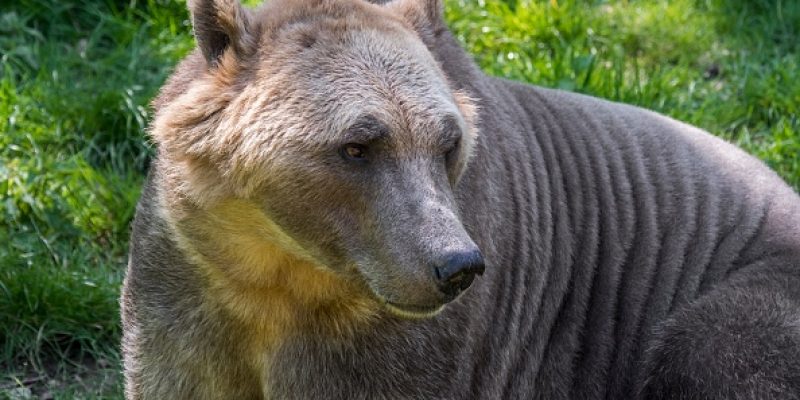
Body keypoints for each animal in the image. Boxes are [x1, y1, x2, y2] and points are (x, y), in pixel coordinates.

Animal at [122, 0, 800, 398]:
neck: (275, 269)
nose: (456, 266)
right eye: (358, 144)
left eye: (447, 143)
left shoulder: (405, 348)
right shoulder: (184, 284)